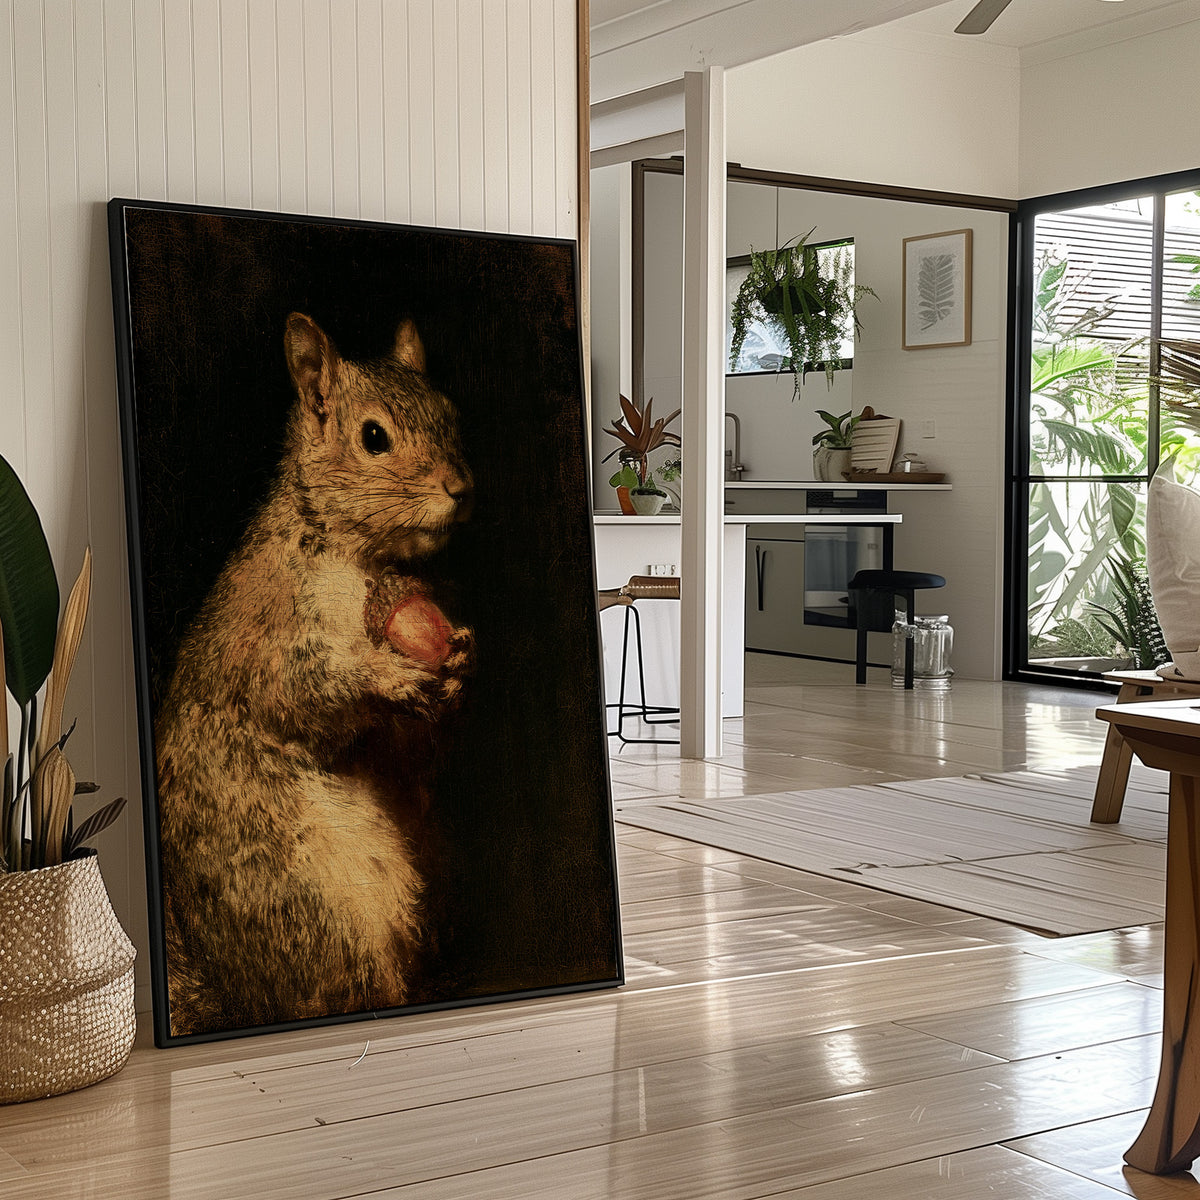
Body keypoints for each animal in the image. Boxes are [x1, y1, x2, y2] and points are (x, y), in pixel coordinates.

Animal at [153, 312, 476, 1036]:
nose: (460, 488)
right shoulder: (273, 639)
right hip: (315, 900)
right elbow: (303, 692)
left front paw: (458, 661)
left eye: (451, 412)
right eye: (374, 437)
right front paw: (389, 678)